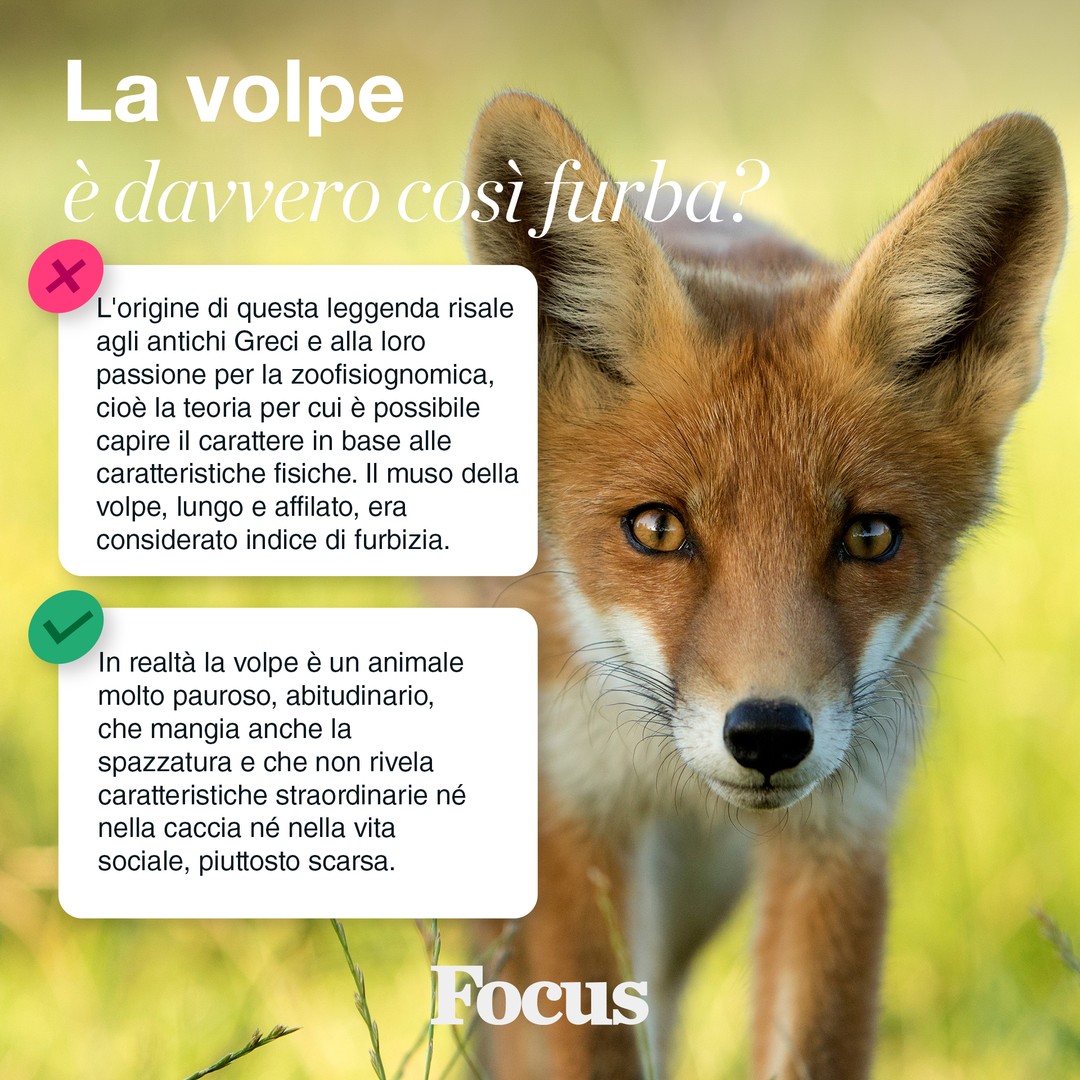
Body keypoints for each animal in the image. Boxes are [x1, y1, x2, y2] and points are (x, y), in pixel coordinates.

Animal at [457, 93, 1067, 1080]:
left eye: (869, 536)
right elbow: (587, 1047)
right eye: (657, 529)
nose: (771, 734)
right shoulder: (574, 814)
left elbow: (810, 1046)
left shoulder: (842, 829)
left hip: (700, 886)